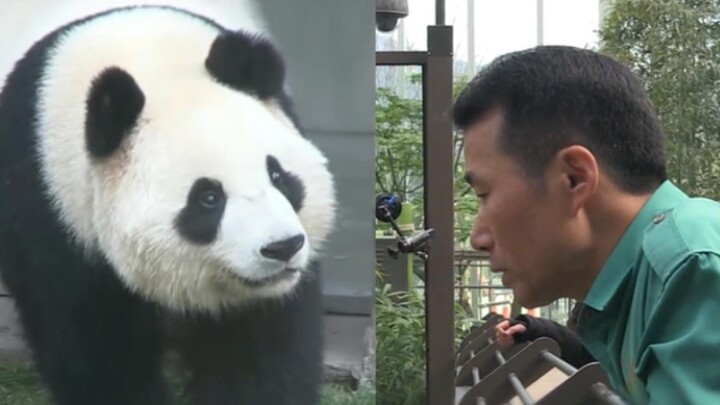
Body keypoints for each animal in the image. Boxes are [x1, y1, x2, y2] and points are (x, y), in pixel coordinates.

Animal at [0, 4, 336, 405]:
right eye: (208, 198)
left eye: (279, 176)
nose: (282, 247)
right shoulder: (50, 201)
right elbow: (92, 345)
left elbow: (260, 346)